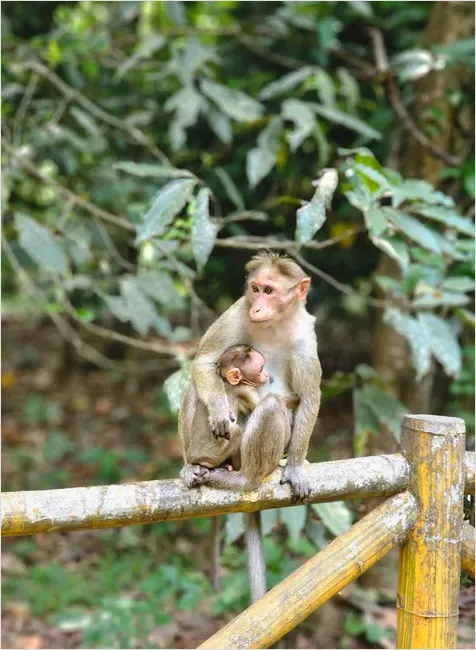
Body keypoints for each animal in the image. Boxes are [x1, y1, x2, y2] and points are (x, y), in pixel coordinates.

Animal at [178, 251, 322, 602]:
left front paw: (295, 467)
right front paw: (219, 411)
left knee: (271, 408)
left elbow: (308, 396)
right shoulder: (236, 312)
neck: (275, 323)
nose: (257, 306)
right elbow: (204, 362)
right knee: (196, 385)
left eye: (269, 291)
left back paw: (247, 478)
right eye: (255, 289)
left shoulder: (305, 337)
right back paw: (194, 466)